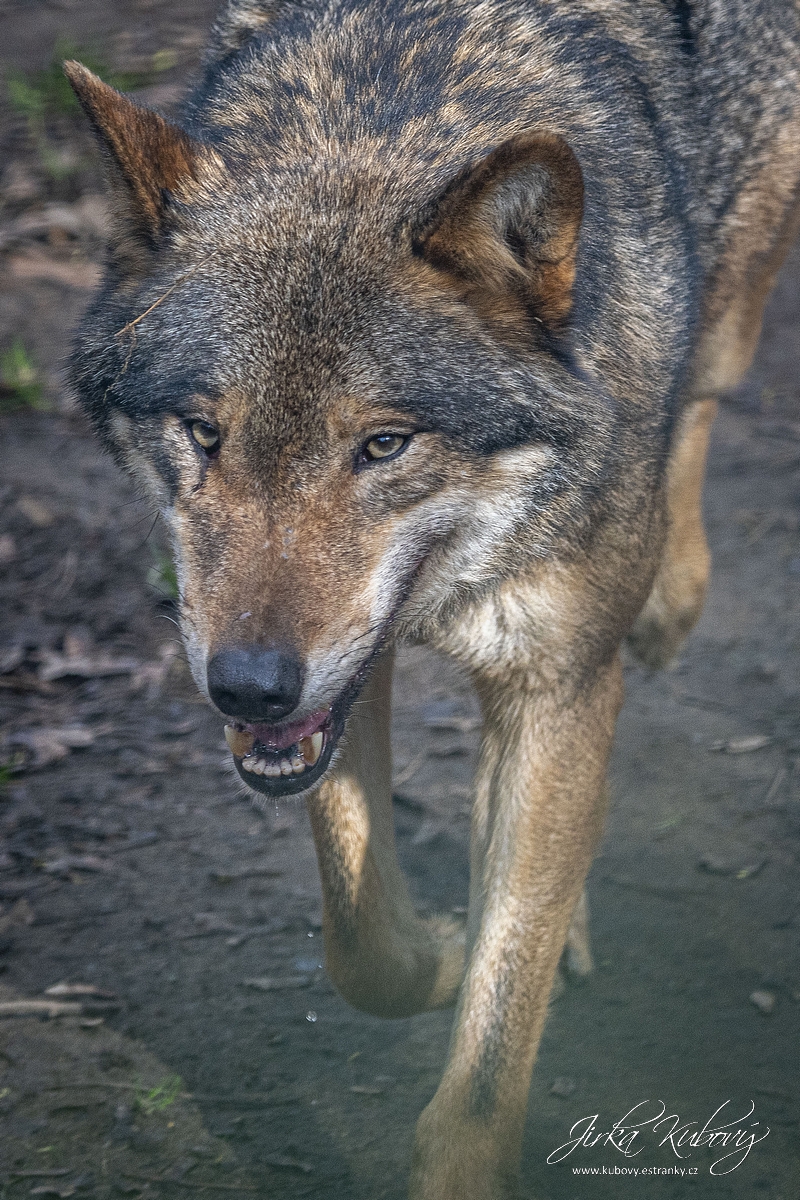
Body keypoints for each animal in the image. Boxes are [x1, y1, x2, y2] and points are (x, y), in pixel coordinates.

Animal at [65, 2, 800, 1190]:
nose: (246, 690)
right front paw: (448, 951)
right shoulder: (339, 679)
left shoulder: (555, 683)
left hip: (741, 261)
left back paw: (666, 587)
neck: (397, 89)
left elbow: (497, 1039)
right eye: (204, 433)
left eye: (383, 445)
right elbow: (366, 942)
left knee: (702, 389)